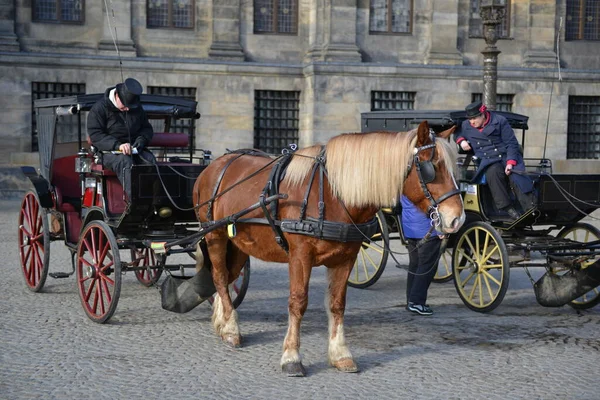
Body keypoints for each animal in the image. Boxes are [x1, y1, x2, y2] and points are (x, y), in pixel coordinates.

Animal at [192, 120, 464, 376]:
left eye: (455, 169)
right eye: (431, 168)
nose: (457, 219)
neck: (333, 194)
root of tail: (216, 164)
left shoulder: (345, 258)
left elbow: (337, 304)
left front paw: (341, 354)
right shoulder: (300, 256)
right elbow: (298, 302)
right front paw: (291, 357)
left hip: (238, 243)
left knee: (228, 277)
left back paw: (222, 322)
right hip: (215, 235)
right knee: (219, 276)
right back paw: (231, 328)